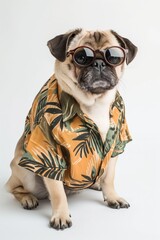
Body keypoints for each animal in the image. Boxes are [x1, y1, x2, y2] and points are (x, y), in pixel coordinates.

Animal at [6, 29, 138, 230]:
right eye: (81, 57)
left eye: (113, 57)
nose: (99, 63)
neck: (94, 103)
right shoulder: (50, 153)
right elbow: (57, 192)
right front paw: (60, 215)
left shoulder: (116, 143)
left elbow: (109, 178)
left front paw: (112, 197)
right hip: (25, 169)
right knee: (14, 188)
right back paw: (28, 198)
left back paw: (96, 184)